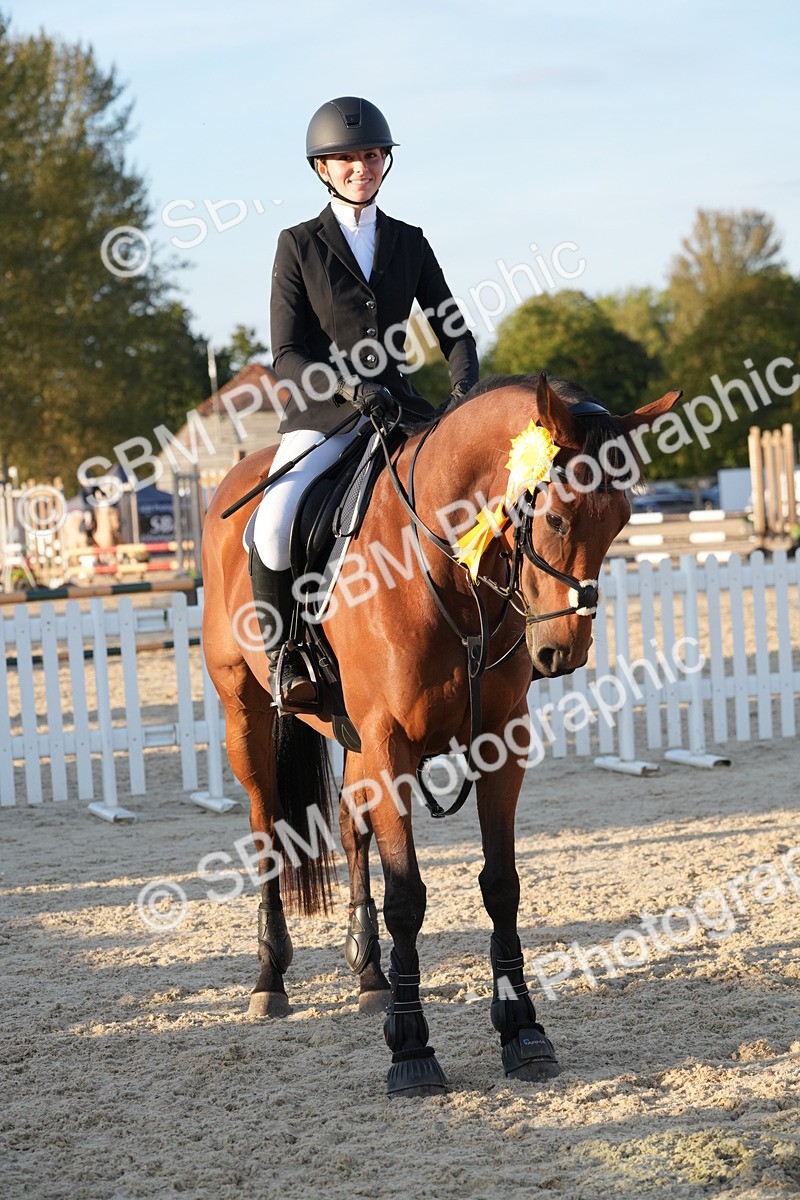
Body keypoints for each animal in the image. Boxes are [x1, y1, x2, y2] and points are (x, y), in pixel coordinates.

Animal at [201, 372, 681, 1096]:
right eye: (558, 517)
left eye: (622, 519)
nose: (560, 653)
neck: (444, 568)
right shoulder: (391, 743)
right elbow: (408, 896)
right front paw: (410, 1047)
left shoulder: (498, 742)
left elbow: (501, 883)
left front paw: (523, 1031)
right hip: (247, 716)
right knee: (267, 835)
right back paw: (269, 981)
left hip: (350, 737)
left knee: (351, 826)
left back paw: (369, 973)